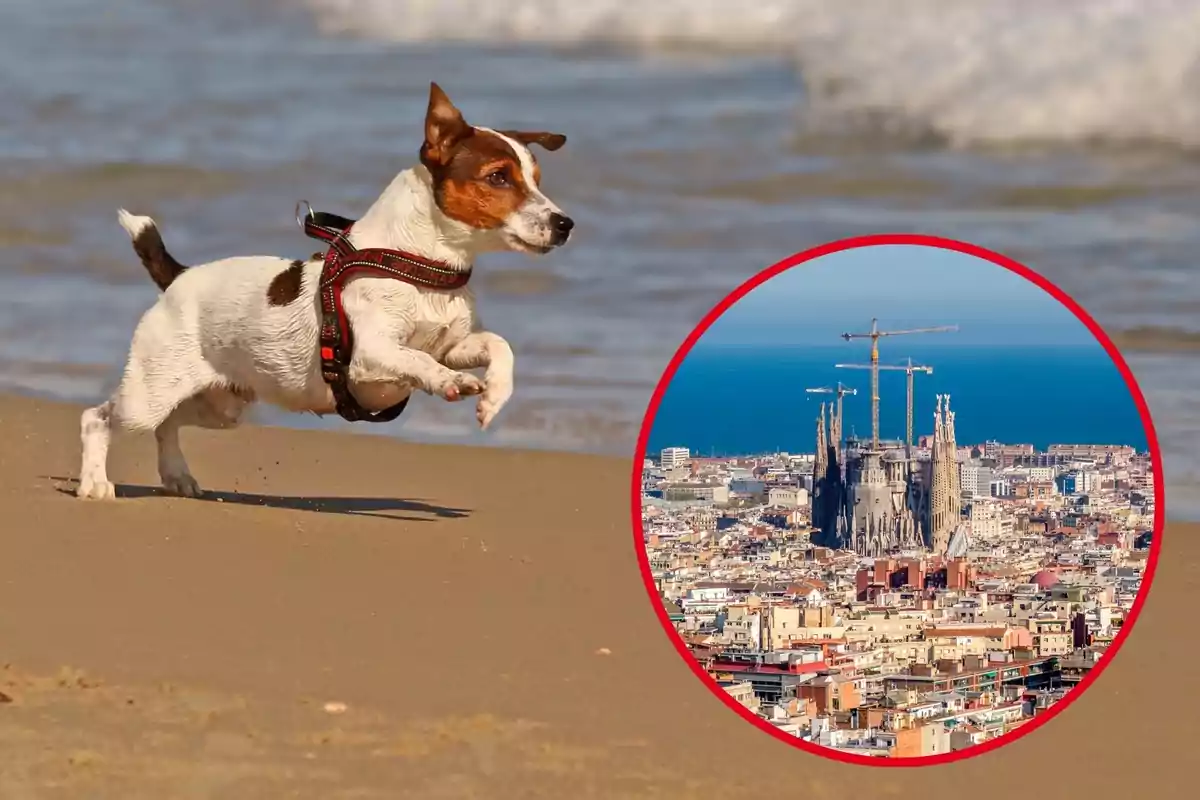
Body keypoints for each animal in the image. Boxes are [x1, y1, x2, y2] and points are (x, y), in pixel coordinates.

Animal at [77, 86, 573, 501]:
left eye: (537, 178)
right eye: (499, 177)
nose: (565, 224)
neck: (419, 267)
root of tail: (178, 277)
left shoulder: (454, 345)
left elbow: (498, 346)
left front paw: (494, 398)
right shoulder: (371, 353)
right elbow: (418, 359)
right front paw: (448, 382)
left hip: (223, 405)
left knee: (168, 425)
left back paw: (177, 475)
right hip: (148, 395)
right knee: (98, 419)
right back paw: (95, 484)